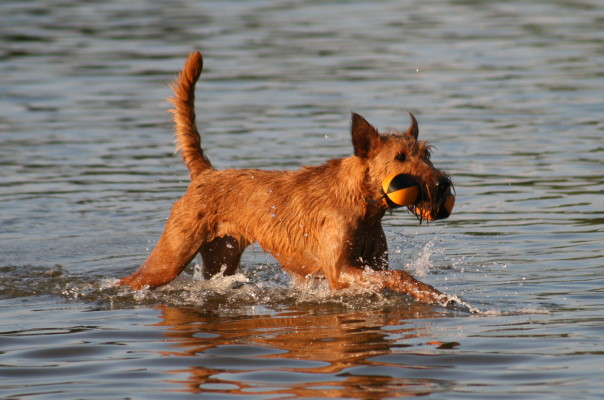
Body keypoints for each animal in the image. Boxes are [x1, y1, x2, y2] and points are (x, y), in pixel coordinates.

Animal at [120, 51, 456, 304]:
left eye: (426, 153)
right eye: (400, 157)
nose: (441, 185)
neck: (363, 205)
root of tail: (206, 172)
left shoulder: (371, 264)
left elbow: (392, 276)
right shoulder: (340, 271)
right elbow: (398, 275)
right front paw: (431, 293)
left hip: (220, 257)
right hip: (170, 257)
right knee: (132, 279)